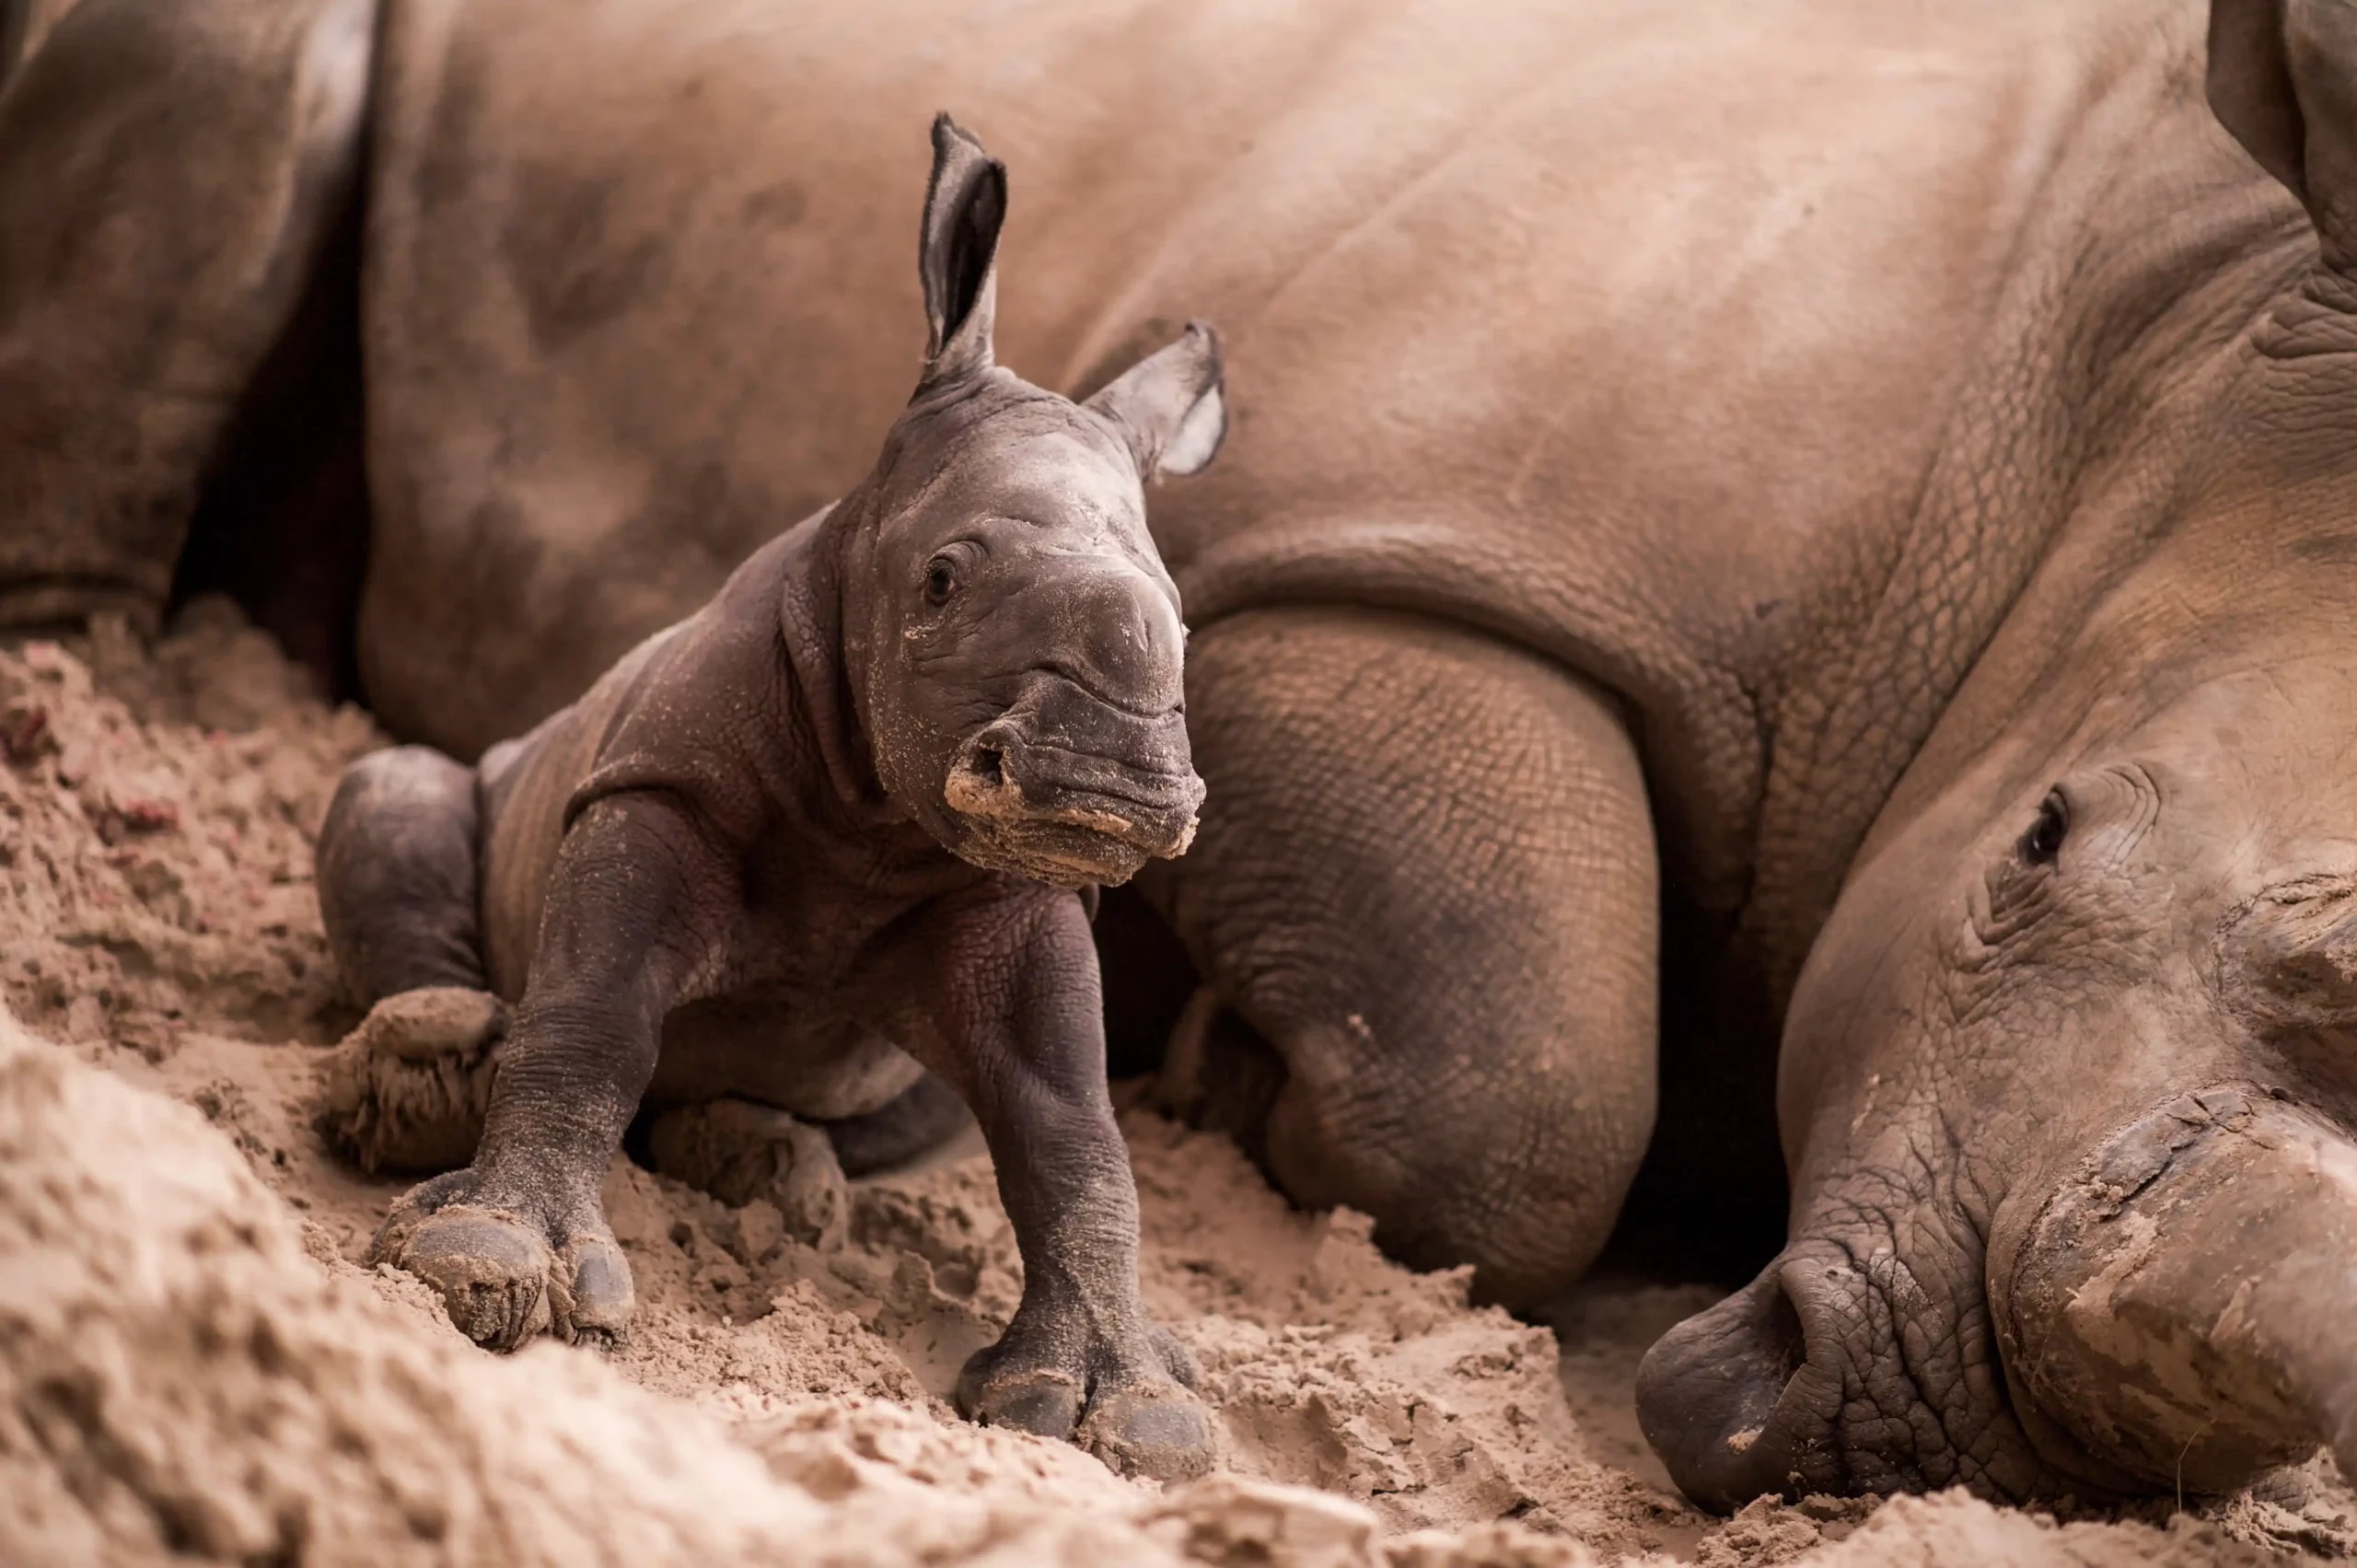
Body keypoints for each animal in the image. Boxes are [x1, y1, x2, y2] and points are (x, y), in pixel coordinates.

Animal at [9, 0, 2357, 1511]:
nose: (1951, 1425)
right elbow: (1521, 1079)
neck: (2172, 337)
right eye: (2034, 841)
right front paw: (1230, 1078)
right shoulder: (1389, 554)